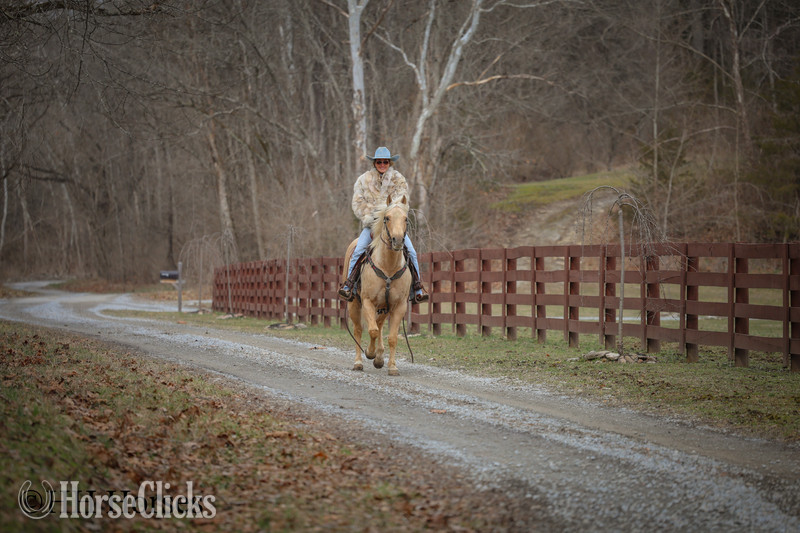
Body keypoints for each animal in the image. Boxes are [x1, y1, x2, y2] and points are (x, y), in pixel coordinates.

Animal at [342, 195, 412, 376]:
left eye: (405, 219)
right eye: (387, 218)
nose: (397, 240)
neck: (388, 266)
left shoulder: (399, 306)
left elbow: (392, 337)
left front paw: (391, 366)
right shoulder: (368, 302)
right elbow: (371, 331)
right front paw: (370, 353)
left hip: (384, 307)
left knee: (379, 325)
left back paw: (380, 357)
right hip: (354, 304)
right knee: (359, 329)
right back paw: (359, 362)